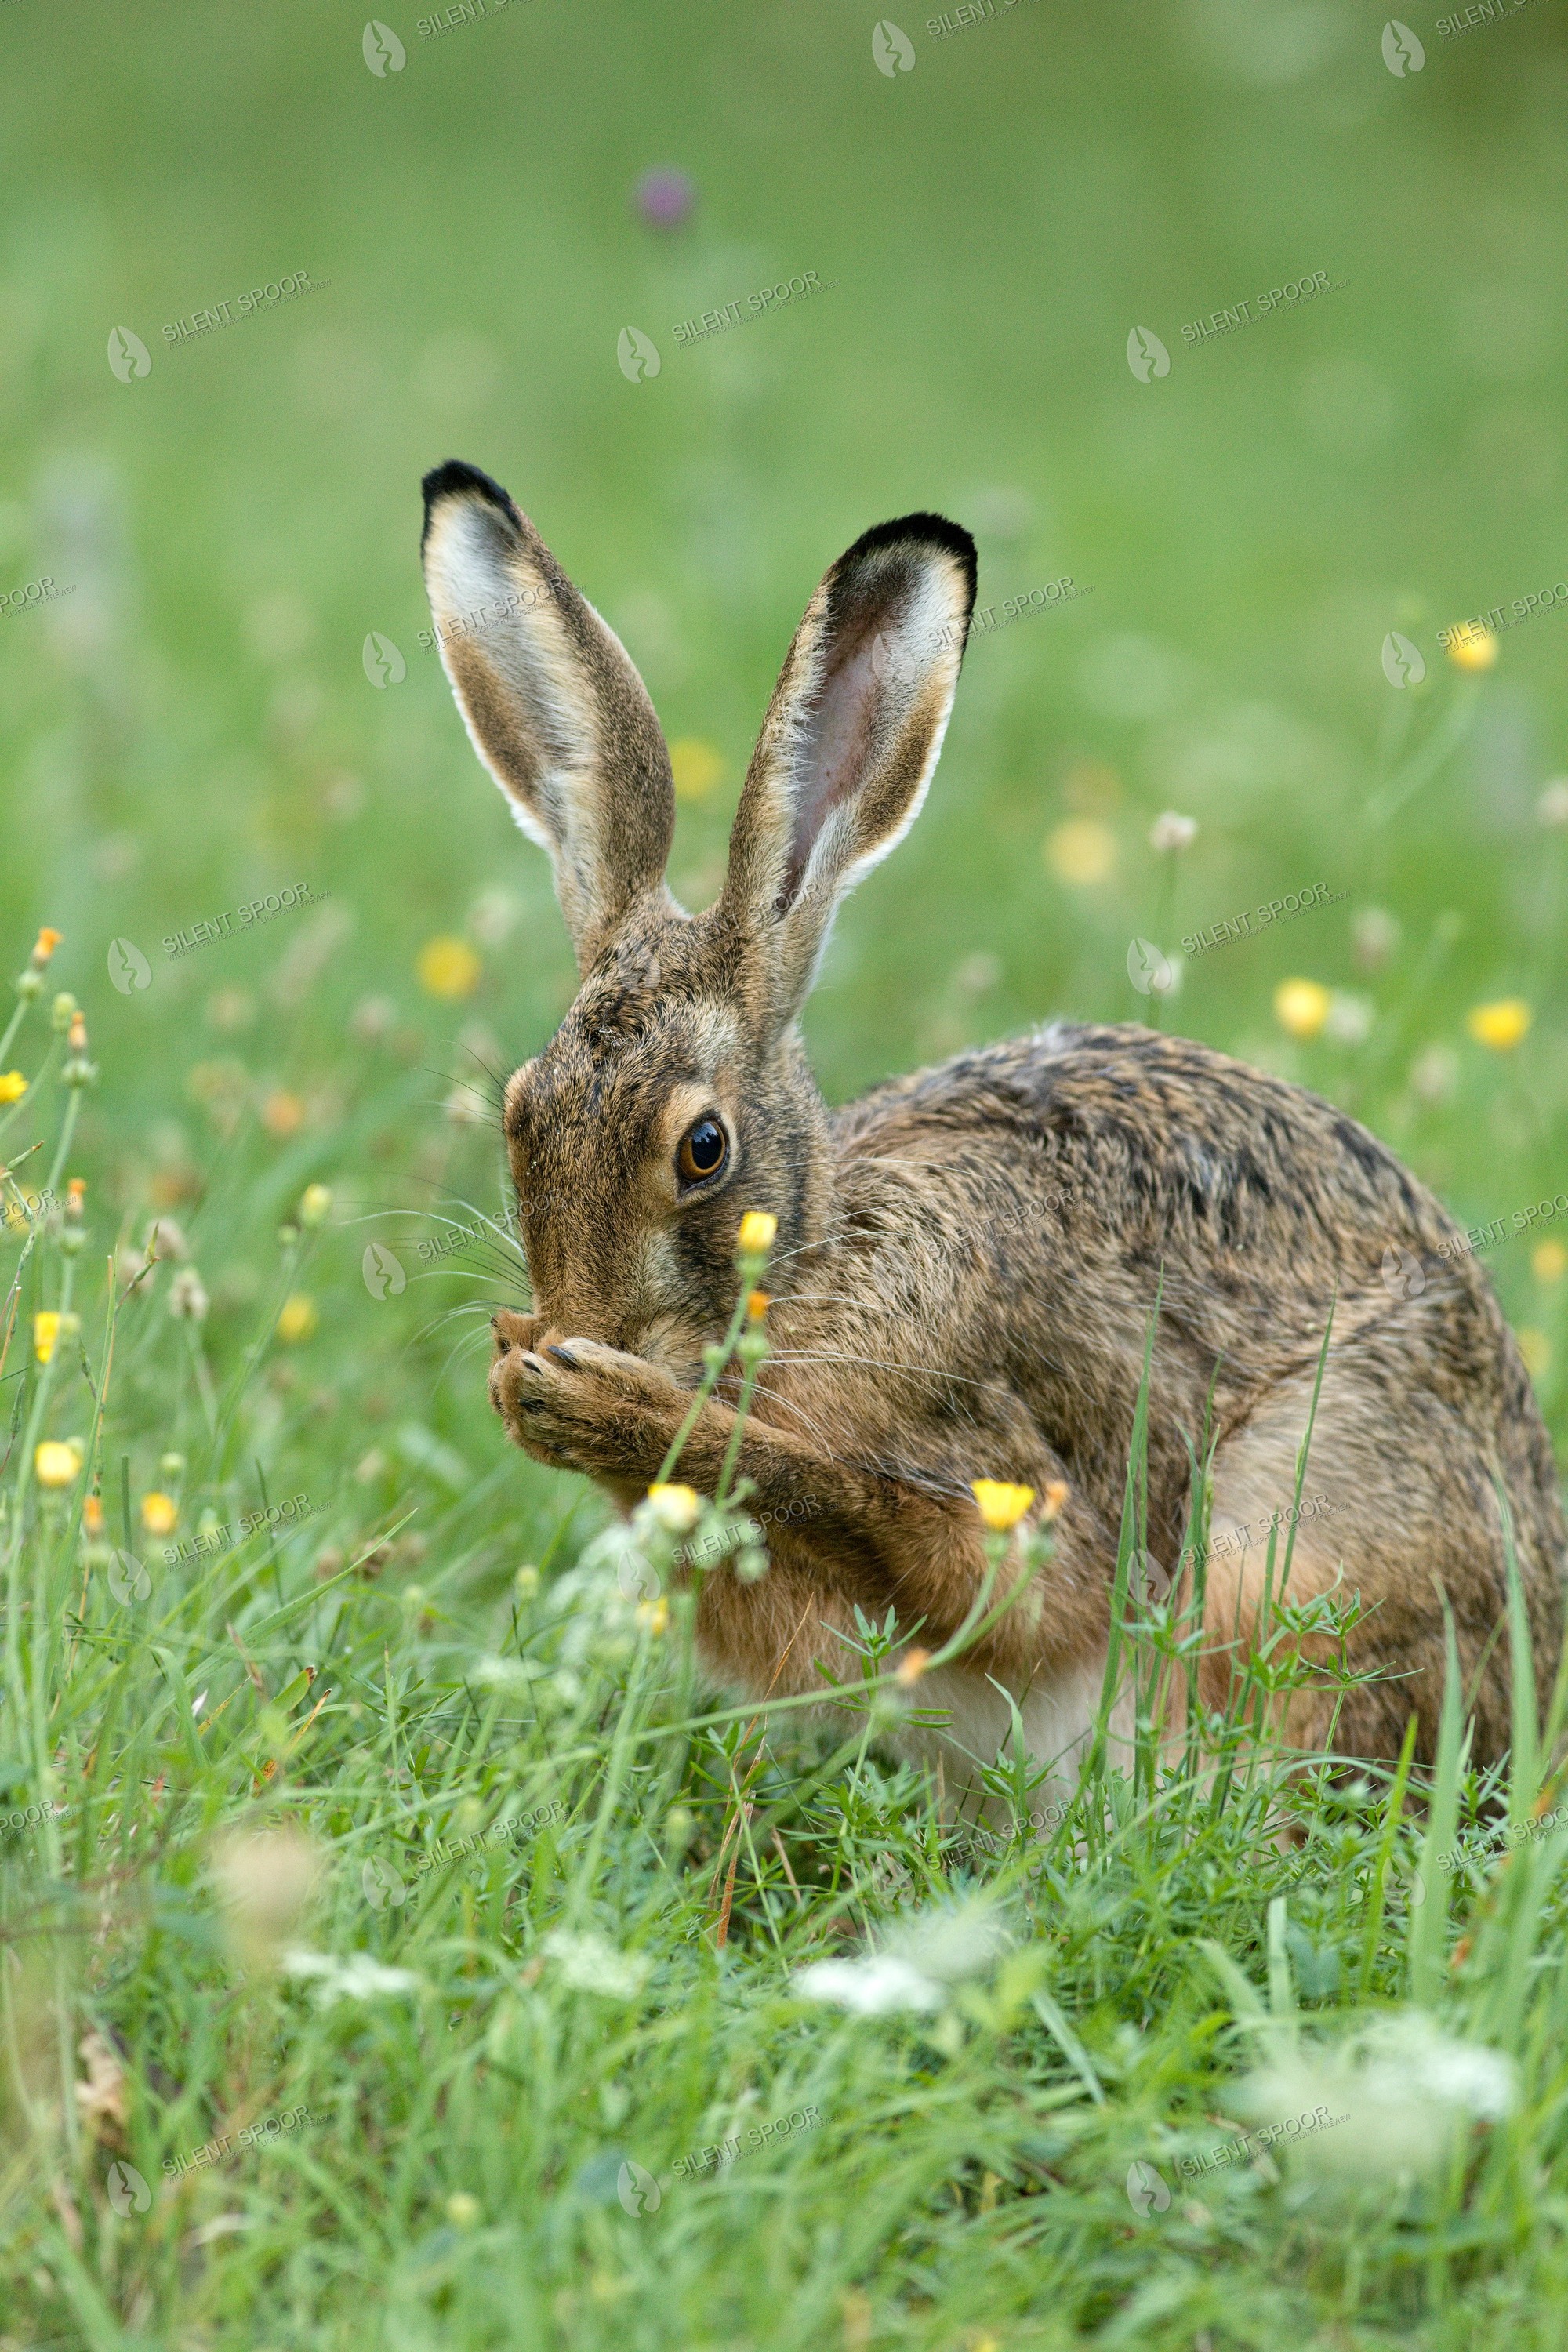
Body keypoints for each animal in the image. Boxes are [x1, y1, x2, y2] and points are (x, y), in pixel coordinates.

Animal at [420, 458, 1565, 1795]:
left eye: (703, 1150)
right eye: (520, 1112)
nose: (579, 1331)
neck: (814, 1262)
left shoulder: (1007, 1454)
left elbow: (940, 1546)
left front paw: (608, 1406)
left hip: (1312, 1530)